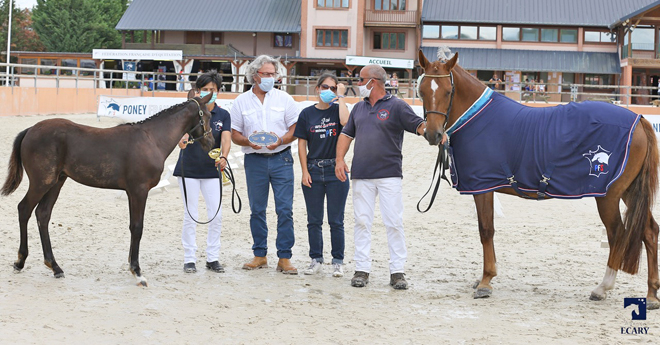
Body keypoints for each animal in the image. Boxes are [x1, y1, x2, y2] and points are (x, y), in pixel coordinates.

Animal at [0, 90, 214, 284]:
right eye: (208, 115)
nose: (211, 143)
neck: (151, 139)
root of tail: (31, 129)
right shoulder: (139, 191)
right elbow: (138, 227)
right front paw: (137, 271)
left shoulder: (131, 193)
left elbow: (132, 226)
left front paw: (132, 266)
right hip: (41, 182)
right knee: (24, 209)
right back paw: (20, 261)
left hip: (56, 182)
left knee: (42, 215)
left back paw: (55, 267)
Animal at [418, 49, 660, 310]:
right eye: (422, 91)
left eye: (448, 91)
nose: (433, 134)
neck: (478, 117)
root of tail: (639, 119)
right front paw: (486, 277)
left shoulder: (483, 186)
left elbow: (486, 230)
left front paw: (485, 281)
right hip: (630, 192)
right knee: (649, 232)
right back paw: (651, 294)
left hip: (609, 195)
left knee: (617, 234)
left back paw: (602, 288)